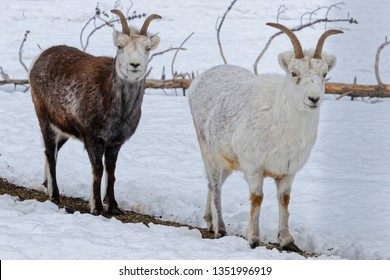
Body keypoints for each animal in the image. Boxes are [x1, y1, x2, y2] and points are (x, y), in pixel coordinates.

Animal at [187, 23, 342, 250]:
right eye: (294, 73)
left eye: (324, 74)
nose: (313, 99)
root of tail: (199, 80)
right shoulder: (253, 168)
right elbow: (257, 198)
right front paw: (253, 239)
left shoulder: (287, 172)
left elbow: (284, 200)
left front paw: (287, 241)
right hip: (208, 152)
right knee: (215, 186)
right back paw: (220, 229)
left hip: (227, 161)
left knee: (212, 184)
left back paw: (209, 221)